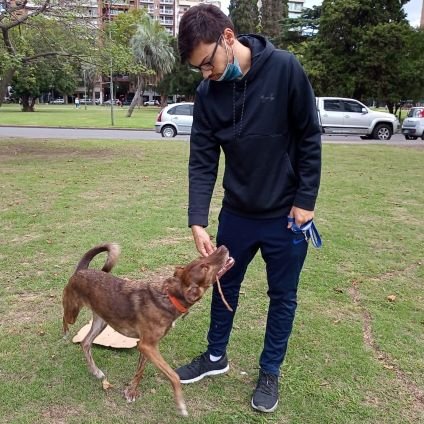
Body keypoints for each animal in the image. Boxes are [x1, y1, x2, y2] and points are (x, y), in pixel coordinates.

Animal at [62, 243, 234, 416]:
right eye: (205, 266)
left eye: (203, 260)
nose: (223, 247)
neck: (170, 297)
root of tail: (82, 270)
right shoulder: (148, 346)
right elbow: (173, 376)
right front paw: (180, 404)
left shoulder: (146, 346)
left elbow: (140, 371)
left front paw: (131, 391)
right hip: (73, 312)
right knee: (65, 318)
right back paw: (65, 333)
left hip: (101, 321)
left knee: (85, 342)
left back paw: (95, 371)